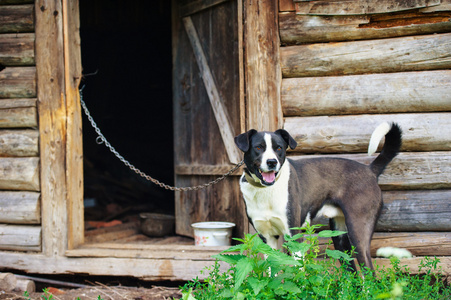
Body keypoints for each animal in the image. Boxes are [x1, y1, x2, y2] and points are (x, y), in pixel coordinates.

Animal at [235, 122, 404, 270]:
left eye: (278, 148)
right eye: (258, 147)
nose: (272, 162)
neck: (266, 190)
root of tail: (370, 170)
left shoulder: (294, 235)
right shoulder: (267, 238)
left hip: (358, 233)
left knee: (370, 274)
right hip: (339, 238)